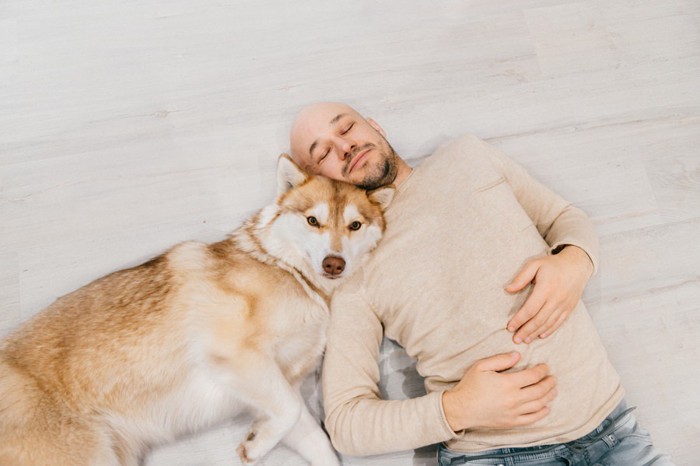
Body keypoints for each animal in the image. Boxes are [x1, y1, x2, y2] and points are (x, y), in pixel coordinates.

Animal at [0, 154, 394, 466]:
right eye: (313, 221)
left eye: (355, 225)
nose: (334, 264)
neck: (289, 272)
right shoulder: (236, 355)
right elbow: (289, 409)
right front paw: (256, 448)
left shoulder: (277, 383)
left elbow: (314, 439)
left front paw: (259, 438)